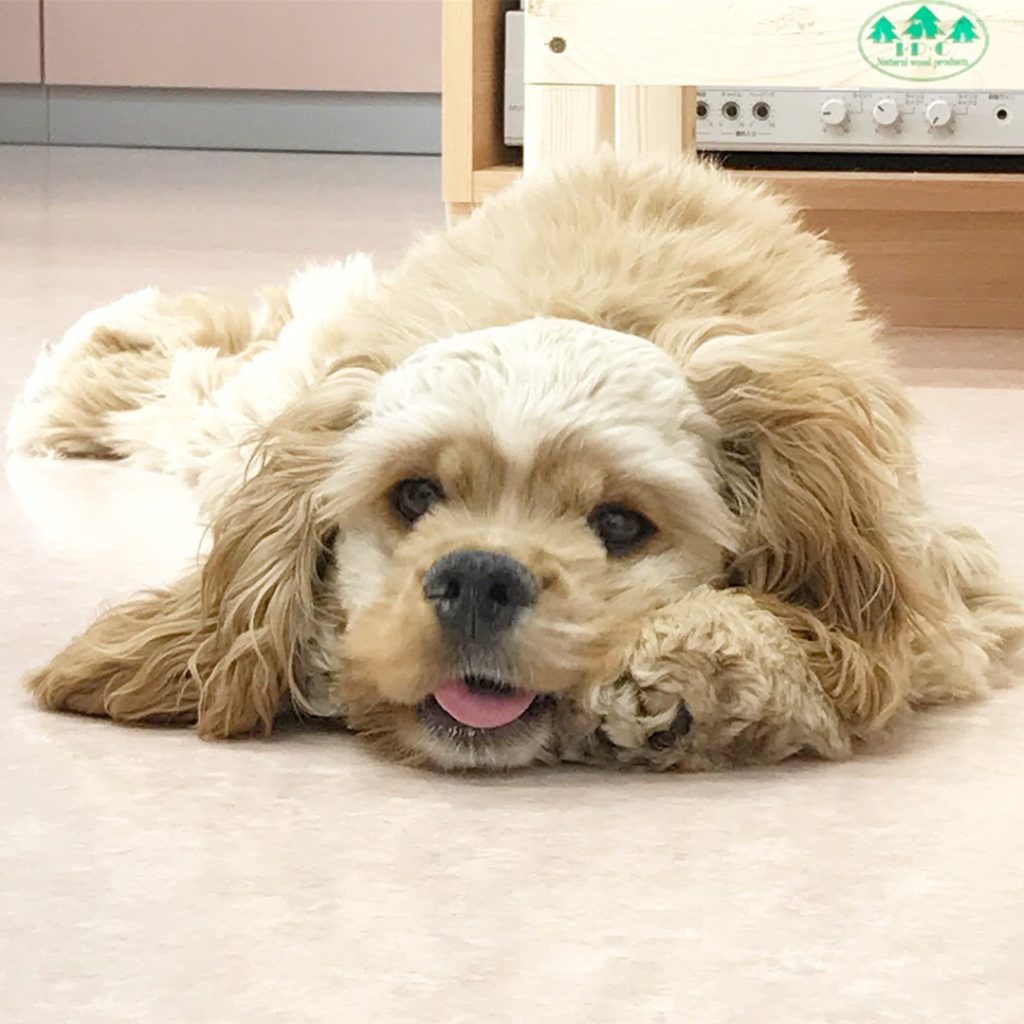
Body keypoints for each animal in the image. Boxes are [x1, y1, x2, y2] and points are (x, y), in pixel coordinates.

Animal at [10, 156, 1024, 771]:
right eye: (415, 495)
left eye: (620, 523)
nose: (478, 577)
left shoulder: (940, 595)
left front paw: (685, 666)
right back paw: (83, 364)